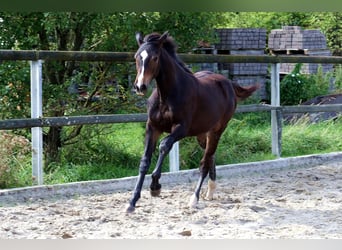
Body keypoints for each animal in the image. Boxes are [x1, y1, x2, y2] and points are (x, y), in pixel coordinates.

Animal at [125, 31, 260, 213]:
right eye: (136, 57)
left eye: (154, 57)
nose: (140, 87)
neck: (166, 96)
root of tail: (227, 83)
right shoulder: (152, 127)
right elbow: (144, 160)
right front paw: (132, 202)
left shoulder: (181, 129)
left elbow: (164, 146)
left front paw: (155, 187)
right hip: (202, 134)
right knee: (210, 157)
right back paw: (210, 192)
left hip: (216, 131)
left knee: (205, 162)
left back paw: (194, 199)